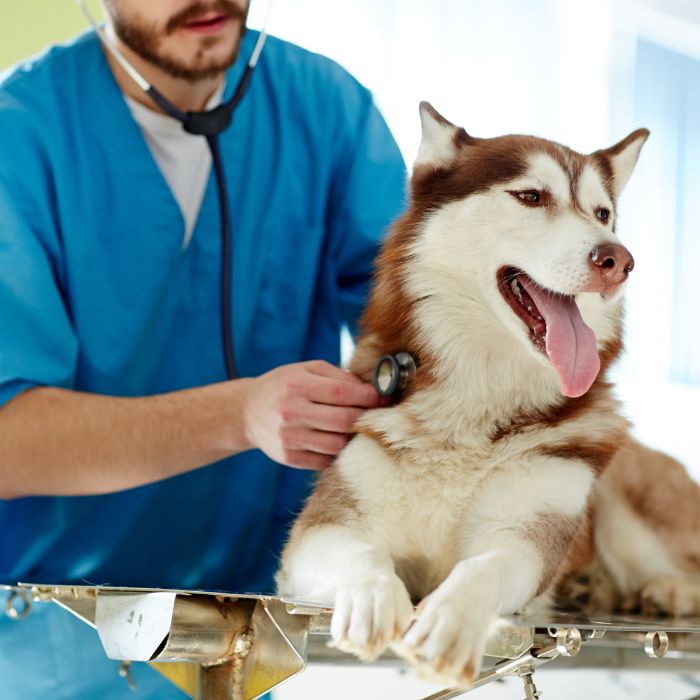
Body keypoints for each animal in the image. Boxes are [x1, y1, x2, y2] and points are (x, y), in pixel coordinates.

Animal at [274, 104, 700, 688]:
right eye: (531, 196)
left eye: (602, 214)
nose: (619, 259)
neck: (476, 408)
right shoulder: (319, 533)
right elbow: (362, 555)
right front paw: (370, 598)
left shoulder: (524, 537)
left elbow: (485, 566)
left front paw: (452, 619)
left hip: (625, 512)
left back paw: (665, 590)